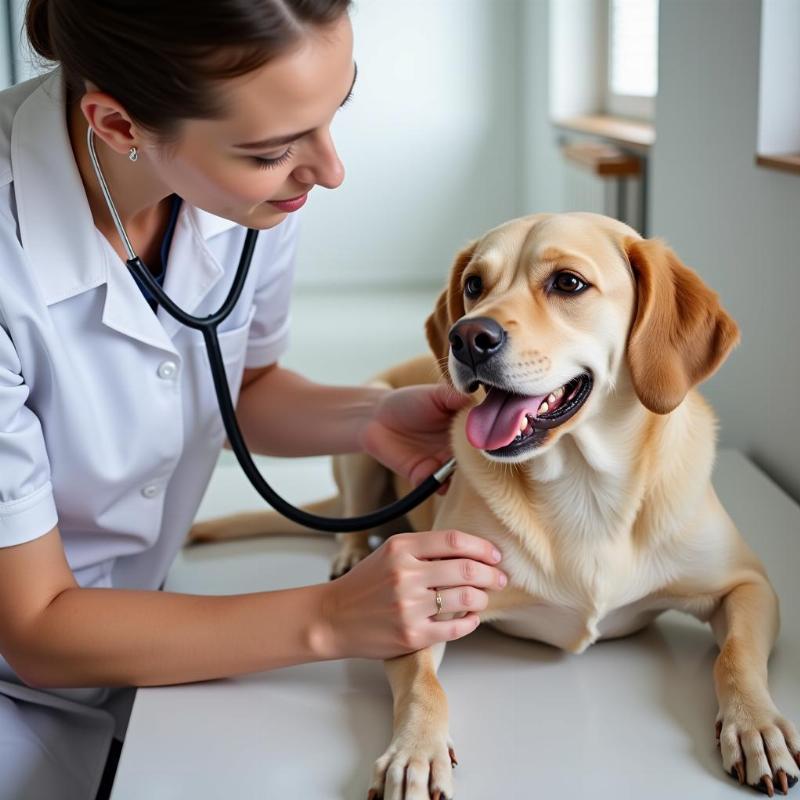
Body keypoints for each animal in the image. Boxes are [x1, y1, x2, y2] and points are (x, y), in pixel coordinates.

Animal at [189, 212, 800, 800]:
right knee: (351, 521)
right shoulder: (419, 606)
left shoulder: (748, 586)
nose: (466, 337)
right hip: (368, 428)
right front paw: (415, 751)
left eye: (568, 283)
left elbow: (734, 657)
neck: (586, 488)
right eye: (473, 285)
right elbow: (425, 689)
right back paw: (352, 553)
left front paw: (756, 726)